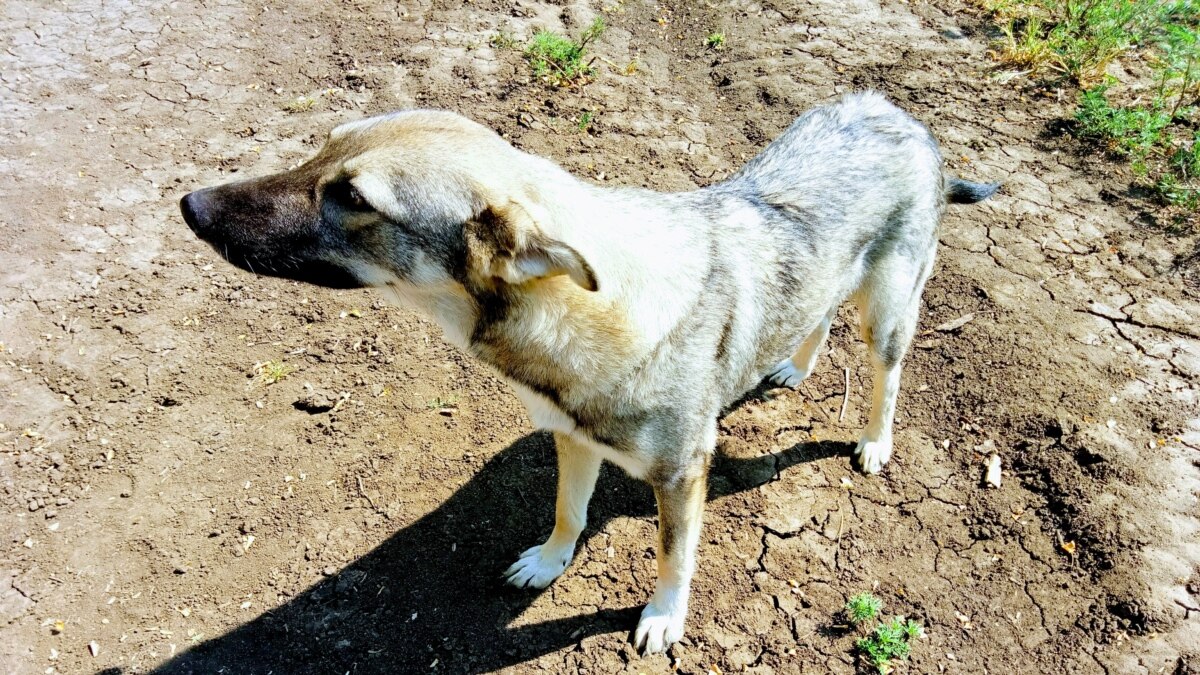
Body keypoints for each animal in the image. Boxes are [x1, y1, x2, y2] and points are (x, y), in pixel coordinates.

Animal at [177, 90, 998, 653]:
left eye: (351, 197)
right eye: (323, 147)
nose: (190, 204)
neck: (592, 308)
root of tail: (900, 114)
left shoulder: (682, 476)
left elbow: (674, 555)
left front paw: (664, 618)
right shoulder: (571, 438)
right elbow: (568, 512)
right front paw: (549, 562)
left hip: (887, 314)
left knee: (887, 376)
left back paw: (876, 442)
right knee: (816, 316)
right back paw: (792, 366)